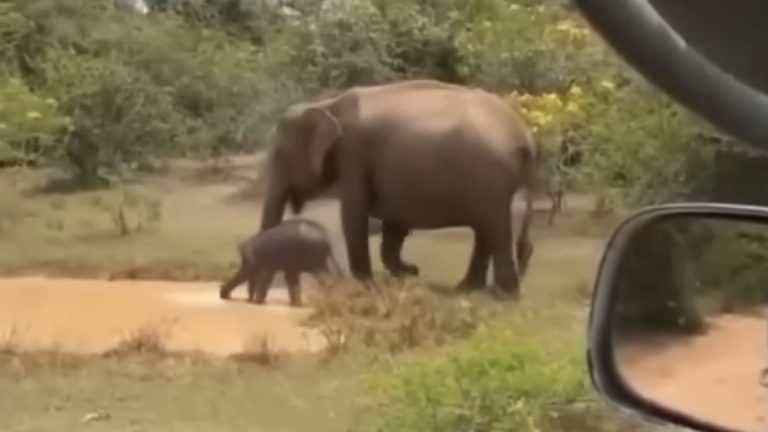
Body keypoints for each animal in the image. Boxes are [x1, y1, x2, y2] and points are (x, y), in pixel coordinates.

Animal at [258, 79, 537, 297]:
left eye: (280, 153)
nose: (259, 298)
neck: (327, 103)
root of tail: (523, 134)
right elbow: (393, 226)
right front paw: (407, 273)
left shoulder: (354, 154)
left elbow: (353, 217)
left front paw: (365, 285)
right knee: (489, 229)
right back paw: (468, 289)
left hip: (491, 177)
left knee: (497, 227)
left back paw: (503, 296)